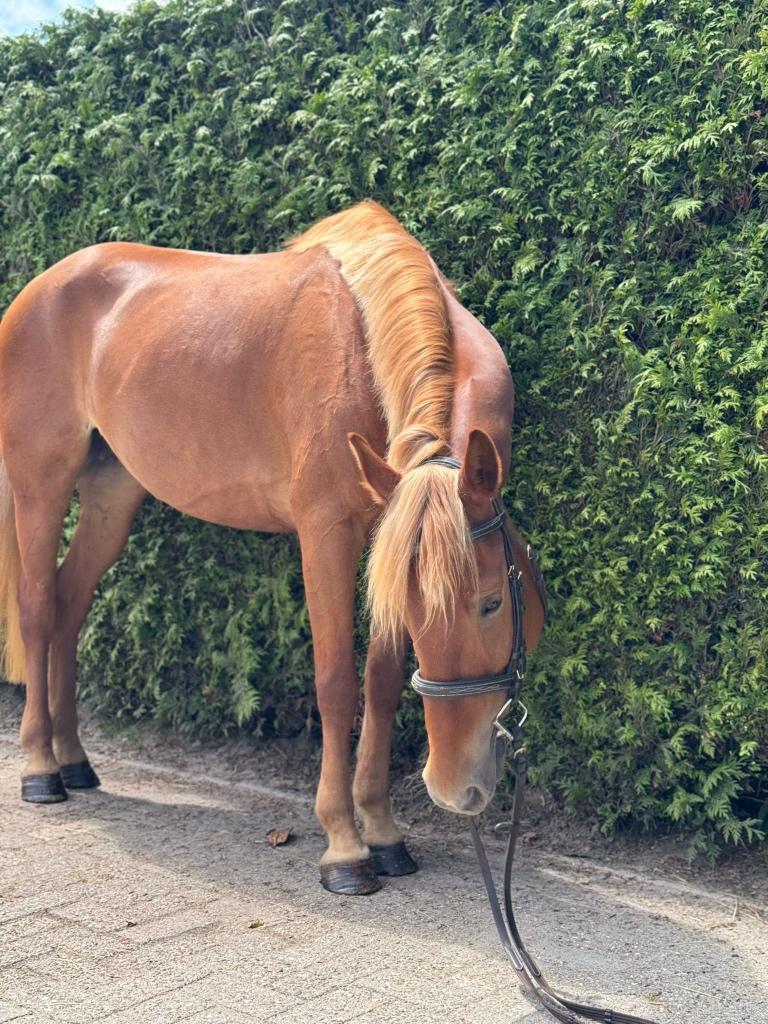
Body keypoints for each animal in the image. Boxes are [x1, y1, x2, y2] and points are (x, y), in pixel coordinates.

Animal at [0, 200, 545, 896]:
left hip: (111, 492)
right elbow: (337, 683)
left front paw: (383, 831)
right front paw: (345, 845)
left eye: (492, 602)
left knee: (69, 605)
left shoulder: (386, 539)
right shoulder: (326, 534)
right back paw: (41, 767)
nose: (456, 788)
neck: (365, 346)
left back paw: (73, 761)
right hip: (41, 484)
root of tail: (37, 290)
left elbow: (381, 680)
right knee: (38, 608)